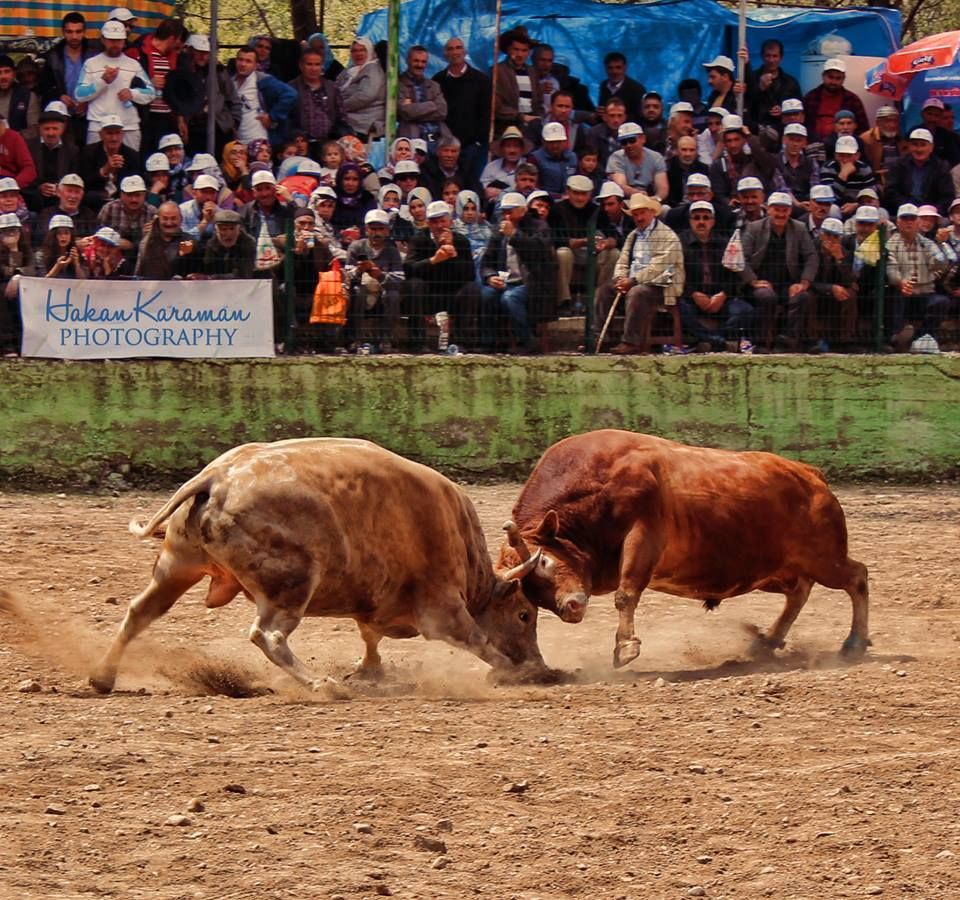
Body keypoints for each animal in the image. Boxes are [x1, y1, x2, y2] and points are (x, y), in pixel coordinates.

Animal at [95, 440, 556, 692]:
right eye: (524, 614)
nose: (539, 664)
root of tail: (217, 477)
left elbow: (370, 636)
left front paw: (370, 671)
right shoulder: (442, 607)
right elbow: (479, 641)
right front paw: (514, 672)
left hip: (177, 566)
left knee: (139, 613)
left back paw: (103, 676)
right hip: (292, 582)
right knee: (268, 635)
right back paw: (320, 684)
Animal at [502, 428, 872, 668]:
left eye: (545, 563)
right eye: (531, 595)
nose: (571, 608)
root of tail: (811, 475)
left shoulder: (643, 536)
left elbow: (626, 594)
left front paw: (625, 647)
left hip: (824, 558)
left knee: (857, 577)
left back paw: (854, 642)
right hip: (772, 571)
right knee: (799, 592)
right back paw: (768, 641)